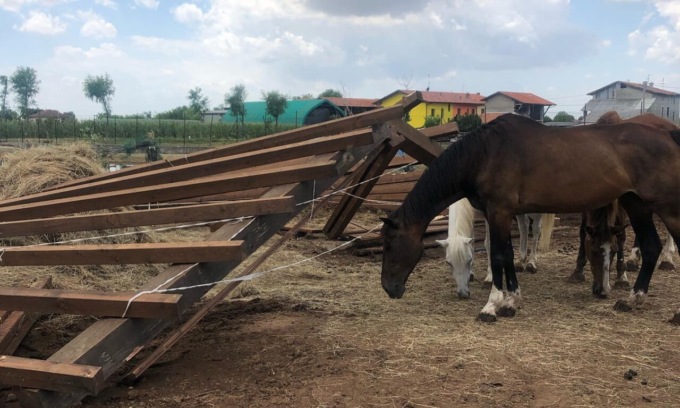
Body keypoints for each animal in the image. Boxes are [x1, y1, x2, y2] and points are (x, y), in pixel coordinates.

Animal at [380, 114, 680, 322]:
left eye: (390, 244)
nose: (389, 289)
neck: (484, 154)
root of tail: (670, 135)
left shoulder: (499, 211)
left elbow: (498, 256)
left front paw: (491, 306)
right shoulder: (500, 214)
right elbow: (508, 254)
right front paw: (511, 301)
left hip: (667, 208)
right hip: (636, 204)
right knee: (650, 247)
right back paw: (632, 300)